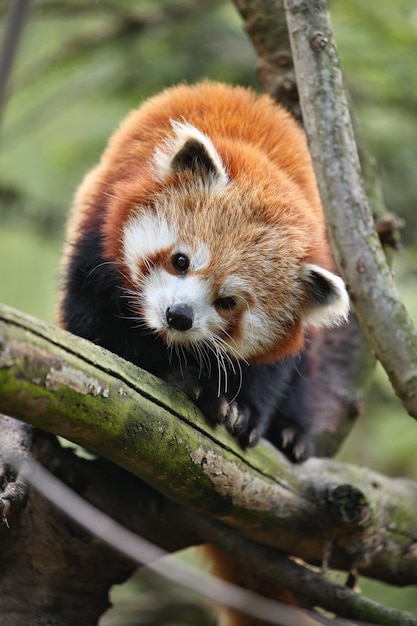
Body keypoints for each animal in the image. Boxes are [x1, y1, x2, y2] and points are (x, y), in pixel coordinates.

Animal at [56, 83, 348, 624]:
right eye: (180, 260)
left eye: (229, 301)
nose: (178, 316)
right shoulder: (98, 241)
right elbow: (95, 336)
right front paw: (176, 378)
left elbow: (271, 371)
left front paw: (238, 410)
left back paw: (292, 434)